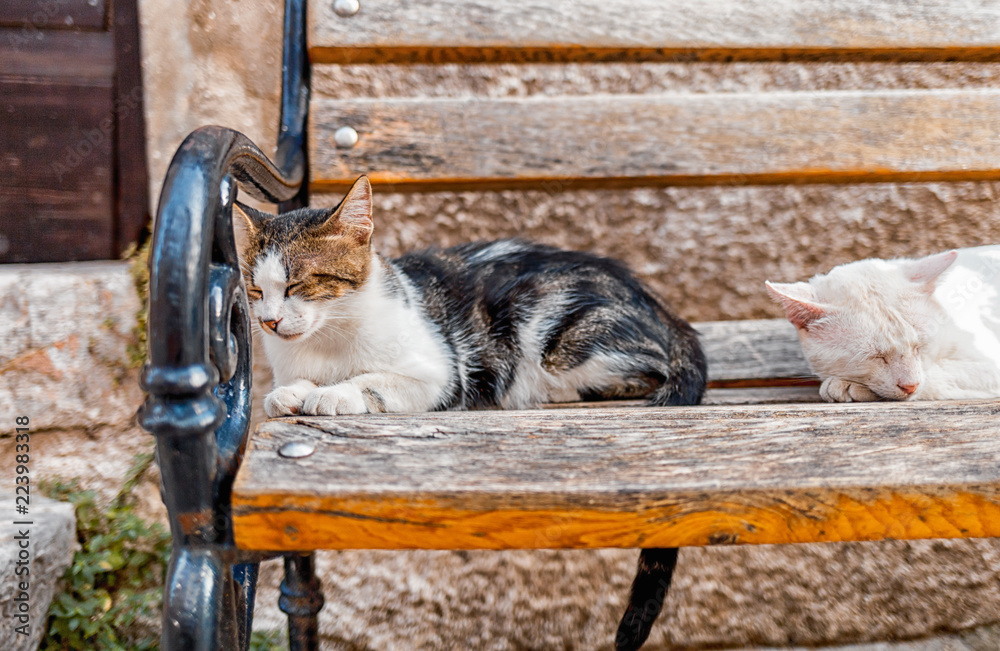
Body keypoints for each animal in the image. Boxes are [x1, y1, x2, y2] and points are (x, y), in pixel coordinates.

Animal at [236, 176, 704, 648]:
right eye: (256, 291)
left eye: (297, 285)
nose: (270, 322)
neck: (327, 339)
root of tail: (660, 307)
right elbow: (293, 385)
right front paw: (291, 393)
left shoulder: (443, 375)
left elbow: (374, 381)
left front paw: (336, 395)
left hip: (554, 330)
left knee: (647, 371)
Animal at [764, 247, 1000, 402]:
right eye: (876, 357)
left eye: (920, 347)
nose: (910, 385)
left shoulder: (989, 366)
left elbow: (937, 376)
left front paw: (846, 386)